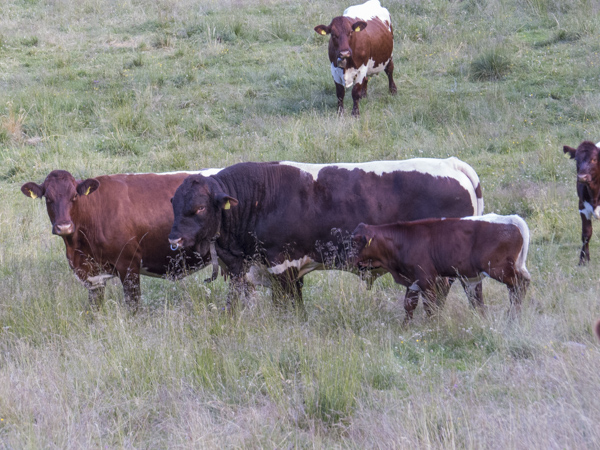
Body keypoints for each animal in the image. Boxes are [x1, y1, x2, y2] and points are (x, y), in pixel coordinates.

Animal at [21, 167, 224, 312]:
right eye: (48, 198)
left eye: (74, 196)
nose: (64, 226)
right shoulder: (93, 273)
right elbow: (95, 308)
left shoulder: (128, 264)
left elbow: (133, 305)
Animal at [168, 158, 482, 312]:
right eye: (173, 203)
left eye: (199, 208)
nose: (174, 240)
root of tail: (450, 163)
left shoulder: (283, 264)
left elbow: (288, 307)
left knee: (439, 294)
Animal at [352, 214, 528, 320]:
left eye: (355, 242)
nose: (349, 259)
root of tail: (512, 219)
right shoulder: (413, 280)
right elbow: (409, 305)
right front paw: (405, 329)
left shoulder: (427, 278)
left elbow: (429, 306)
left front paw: (431, 327)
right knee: (523, 284)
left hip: (499, 269)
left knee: (518, 286)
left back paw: (513, 316)